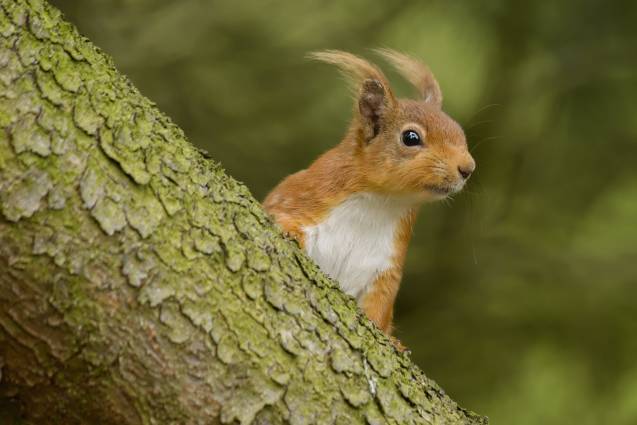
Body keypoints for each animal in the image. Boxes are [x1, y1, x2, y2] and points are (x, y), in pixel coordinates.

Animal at [260, 48, 474, 342]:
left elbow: (379, 307)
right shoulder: (303, 195)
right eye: (410, 137)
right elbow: (282, 215)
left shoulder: (385, 268)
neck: (380, 203)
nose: (468, 168)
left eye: (461, 132)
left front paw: (392, 341)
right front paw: (290, 231)